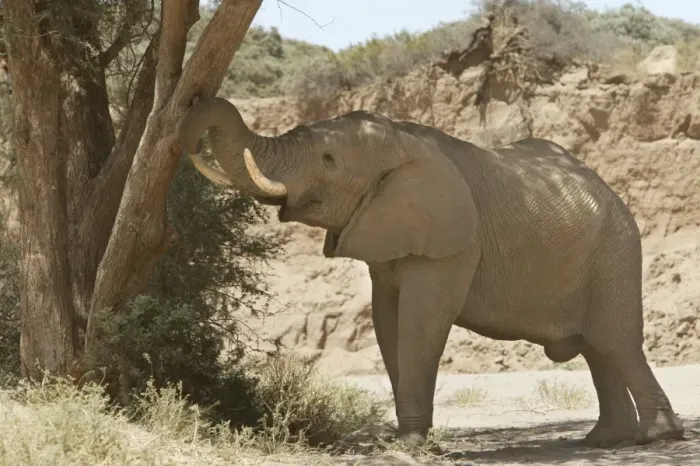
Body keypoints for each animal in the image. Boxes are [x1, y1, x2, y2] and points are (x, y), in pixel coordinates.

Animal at [177, 96, 684, 448]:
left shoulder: (452, 245)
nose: (191, 100)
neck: (402, 139)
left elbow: (421, 322)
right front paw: (401, 441)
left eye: (328, 160)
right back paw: (604, 441)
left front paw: (406, 447)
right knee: (598, 349)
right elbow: (388, 323)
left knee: (615, 342)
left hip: (615, 251)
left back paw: (654, 437)